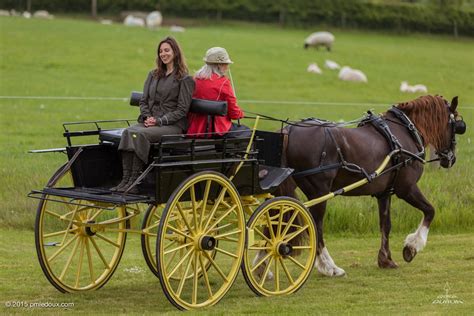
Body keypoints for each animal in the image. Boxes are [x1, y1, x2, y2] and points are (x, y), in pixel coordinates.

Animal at [276, 95, 464, 276]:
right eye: (457, 126)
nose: (451, 159)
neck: (404, 131)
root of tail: (290, 129)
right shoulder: (407, 188)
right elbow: (430, 211)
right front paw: (411, 248)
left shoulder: (385, 193)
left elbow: (385, 225)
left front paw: (386, 260)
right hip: (319, 192)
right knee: (316, 227)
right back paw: (329, 267)